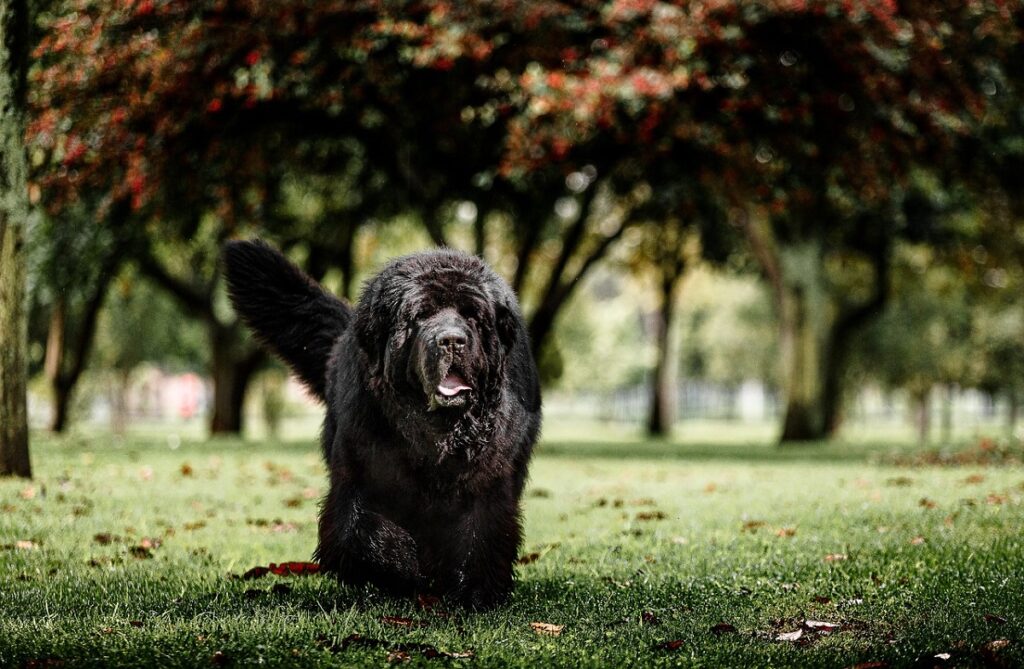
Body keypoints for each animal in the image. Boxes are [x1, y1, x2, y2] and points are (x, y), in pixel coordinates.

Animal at [224, 241, 544, 610]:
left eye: (473, 316)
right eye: (420, 316)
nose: (451, 340)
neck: (438, 432)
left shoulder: (488, 479)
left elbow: (483, 533)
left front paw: (476, 592)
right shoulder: (360, 469)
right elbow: (361, 530)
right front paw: (399, 567)